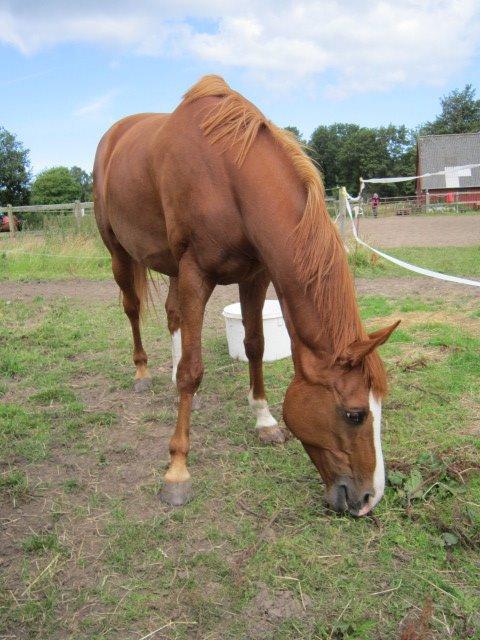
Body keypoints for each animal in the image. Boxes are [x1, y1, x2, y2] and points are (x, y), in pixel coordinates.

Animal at [93, 76, 398, 516]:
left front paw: (264, 420)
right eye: (355, 414)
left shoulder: (255, 275)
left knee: (172, 316)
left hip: (171, 267)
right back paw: (143, 373)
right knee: (132, 309)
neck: (228, 178)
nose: (369, 499)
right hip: (119, 252)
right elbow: (193, 371)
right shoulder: (196, 274)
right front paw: (177, 471)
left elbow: (255, 346)